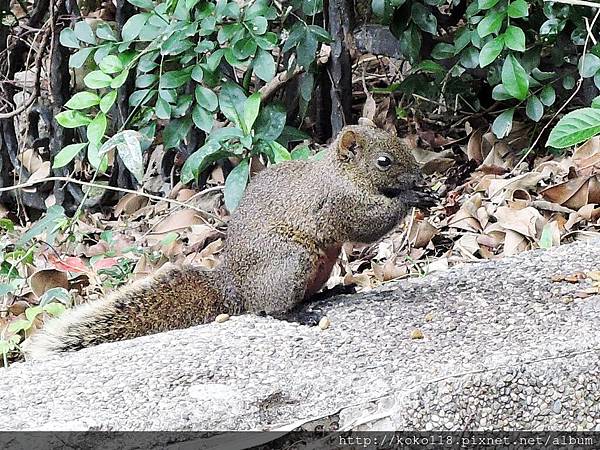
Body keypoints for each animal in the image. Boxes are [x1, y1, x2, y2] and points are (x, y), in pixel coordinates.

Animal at [24, 122, 436, 358]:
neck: (340, 173)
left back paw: (331, 291)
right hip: (290, 261)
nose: (419, 174)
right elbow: (366, 224)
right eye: (383, 161)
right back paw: (299, 314)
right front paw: (410, 197)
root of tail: (233, 286)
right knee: (268, 308)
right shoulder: (337, 202)